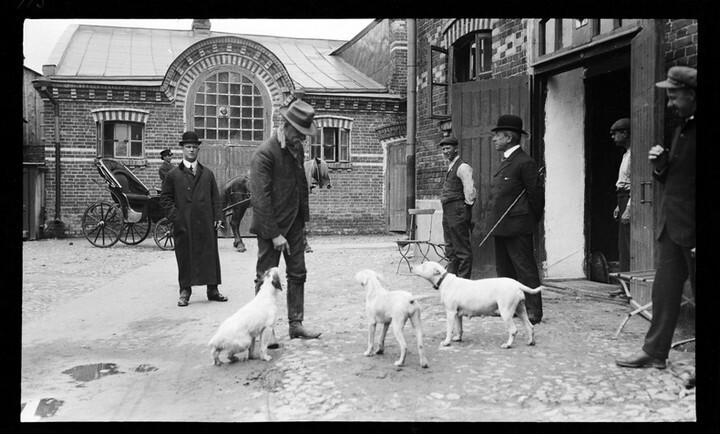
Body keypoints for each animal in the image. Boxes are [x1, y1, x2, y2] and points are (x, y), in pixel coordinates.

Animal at [414, 262, 544, 350]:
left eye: (424, 265)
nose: (412, 267)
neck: (444, 280)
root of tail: (516, 284)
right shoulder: (457, 314)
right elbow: (459, 328)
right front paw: (458, 338)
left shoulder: (450, 313)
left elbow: (449, 329)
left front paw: (446, 342)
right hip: (520, 310)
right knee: (530, 326)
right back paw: (530, 342)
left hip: (506, 312)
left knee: (513, 330)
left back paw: (507, 345)